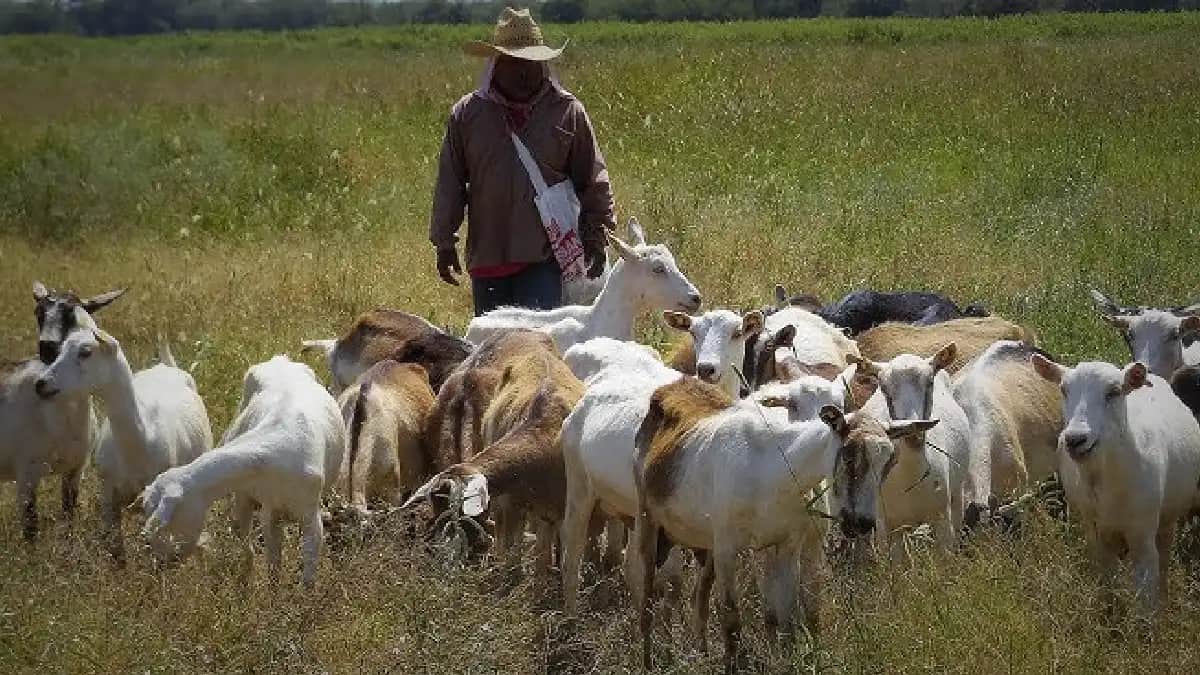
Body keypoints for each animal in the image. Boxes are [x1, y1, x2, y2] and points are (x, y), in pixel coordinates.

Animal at [35, 324, 213, 561]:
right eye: (60, 349)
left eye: (86, 352)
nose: (41, 384)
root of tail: (165, 366)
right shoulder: (108, 495)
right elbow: (116, 552)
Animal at [136, 355, 344, 587]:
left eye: (164, 521)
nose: (158, 565)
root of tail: (279, 359)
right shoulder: (268, 509)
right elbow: (270, 563)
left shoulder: (310, 516)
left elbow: (307, 577)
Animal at [1032, 354, 1200, 616]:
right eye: (1063, 389)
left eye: (1113, 392)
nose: (1075, 439)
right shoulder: (1096, 534)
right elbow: (1109, 592)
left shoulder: (1142, 538)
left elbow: (1145, 602)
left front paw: (1148, 624)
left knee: (1163, 557)